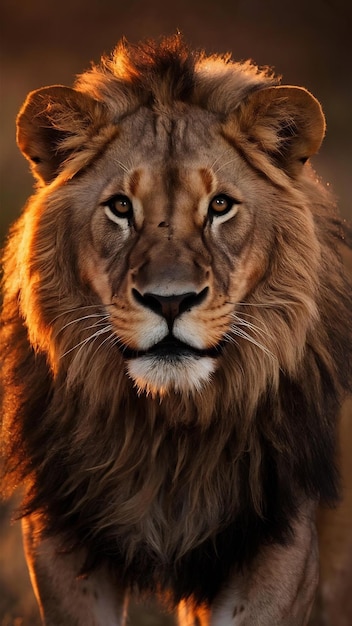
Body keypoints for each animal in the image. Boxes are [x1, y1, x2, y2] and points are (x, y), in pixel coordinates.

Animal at [0, 34, 352, 624]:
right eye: (121, 207)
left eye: (220, 206)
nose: (170, 300)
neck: (168, 430)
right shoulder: (59, 531)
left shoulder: (282, 537)